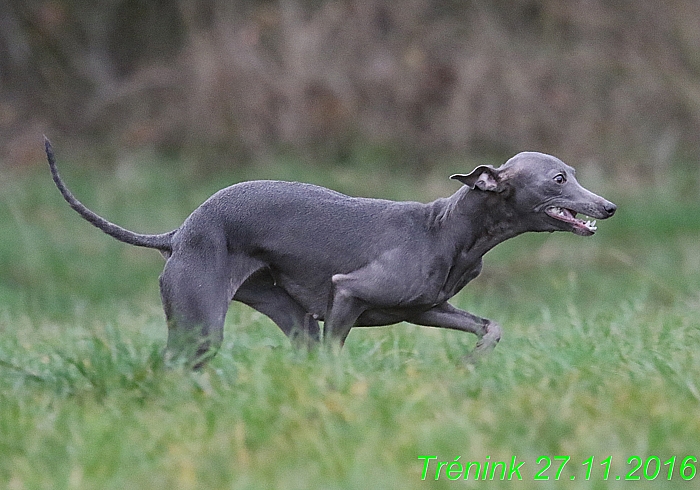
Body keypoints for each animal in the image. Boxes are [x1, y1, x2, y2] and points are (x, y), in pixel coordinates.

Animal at [43, 138, 616, 368]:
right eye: (559, 179)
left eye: (573, 173)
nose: (608, 206)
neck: (447, 228)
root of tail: (178, 233)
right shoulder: (348, 293)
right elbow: (337, 356)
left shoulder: (427, 308)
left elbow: (489, 327)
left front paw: (471, 364)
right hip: (199, 321)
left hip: (287, 314)